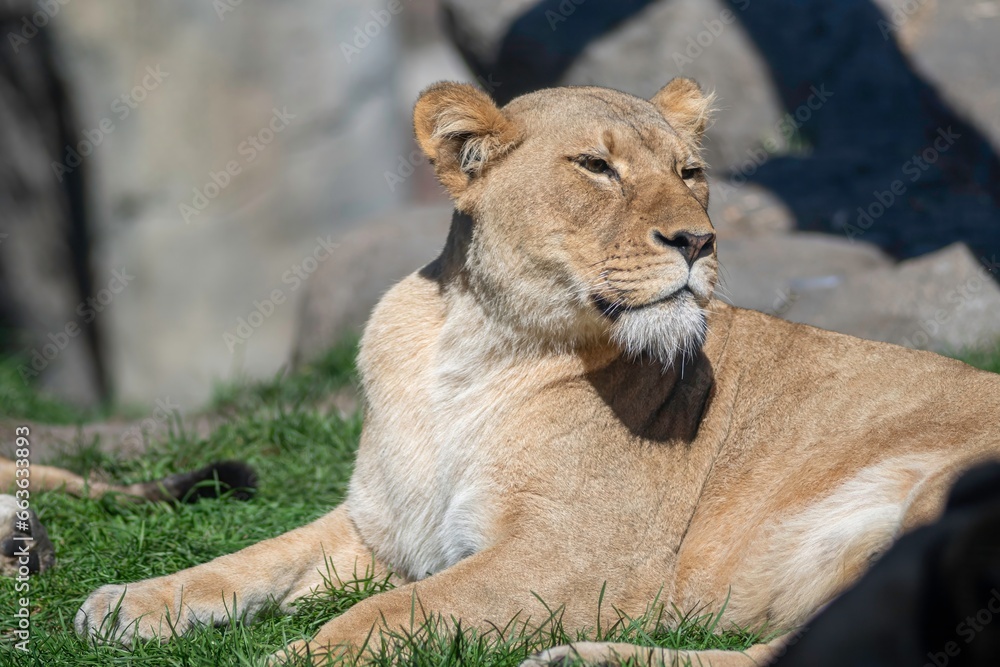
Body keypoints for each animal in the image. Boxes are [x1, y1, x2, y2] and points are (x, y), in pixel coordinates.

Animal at [74, 78, 1000, 666]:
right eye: (597, 166)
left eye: (690, 172)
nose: (698, 240)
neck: (478, 346)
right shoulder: (387, 525)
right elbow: (255, 557)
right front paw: (128, 601)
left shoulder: (571, 561)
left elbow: (388, 612)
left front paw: (287, 659)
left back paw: (580, 659)